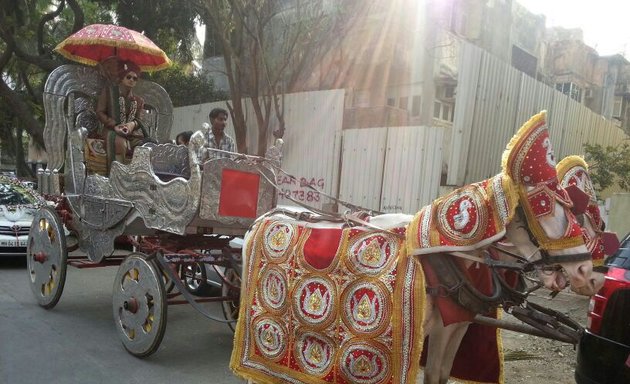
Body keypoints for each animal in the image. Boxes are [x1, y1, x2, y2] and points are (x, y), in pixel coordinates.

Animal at [231, 112, 604, 384]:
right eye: (545, 208)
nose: (587, 272)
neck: (448, 259)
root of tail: (264, 216)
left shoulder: (455, 327)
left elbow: (439, 375)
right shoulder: (424, 332)